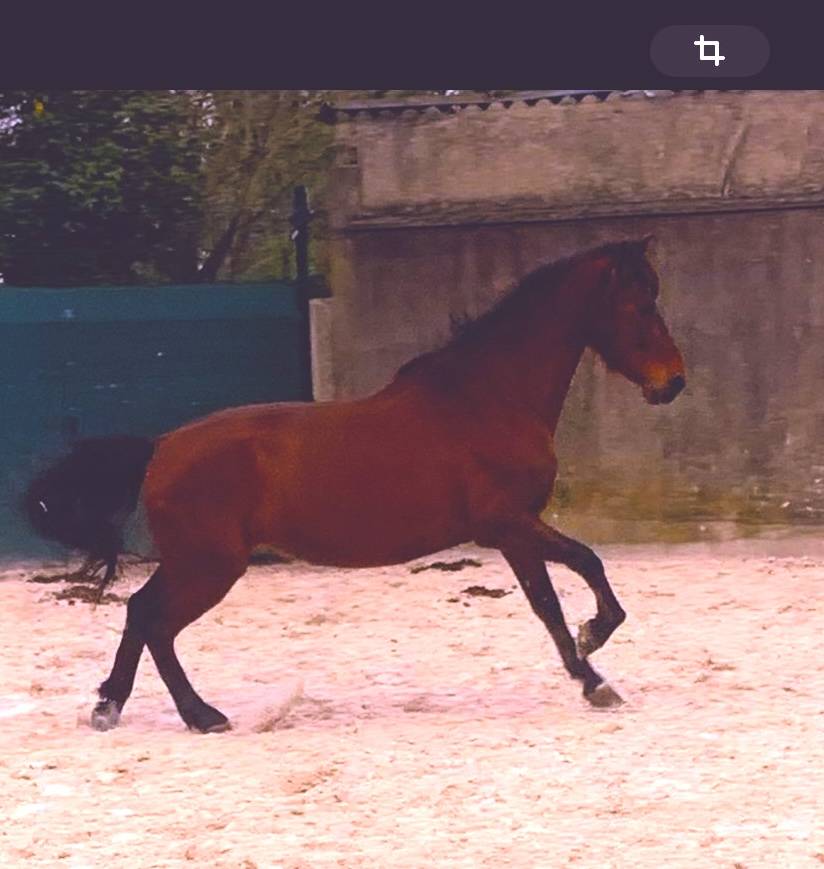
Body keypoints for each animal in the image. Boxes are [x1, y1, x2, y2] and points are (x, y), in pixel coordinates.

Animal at [25, 237, 686, 733]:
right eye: (640, 305)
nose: (673, 383)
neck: (487, 399)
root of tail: (161, 447)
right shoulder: (507, 523)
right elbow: (585, 566)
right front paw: (595, 649)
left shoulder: (514, 534)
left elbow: (548, 602)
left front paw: (591, 676)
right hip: (209, 566)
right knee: (156, 624)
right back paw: (201, 715)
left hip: (195, 563)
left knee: (139, 613)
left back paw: (110, 706)